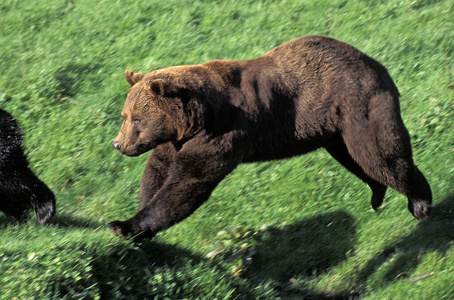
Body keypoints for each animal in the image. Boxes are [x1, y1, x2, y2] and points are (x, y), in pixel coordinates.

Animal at [109, 35, 432, 241]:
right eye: (125, 115)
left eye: (136, 118)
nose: (118, 144)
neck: (197, 118)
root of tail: (371, 60)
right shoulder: (175, 140)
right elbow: (158, 171)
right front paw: (134, 220)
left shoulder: (224, 131)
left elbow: (188, 181)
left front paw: (123, 226)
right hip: (334, 130)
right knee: (354, 159)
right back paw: (377, 193)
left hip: (356, 104)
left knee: (378, 154)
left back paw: (418, 201)